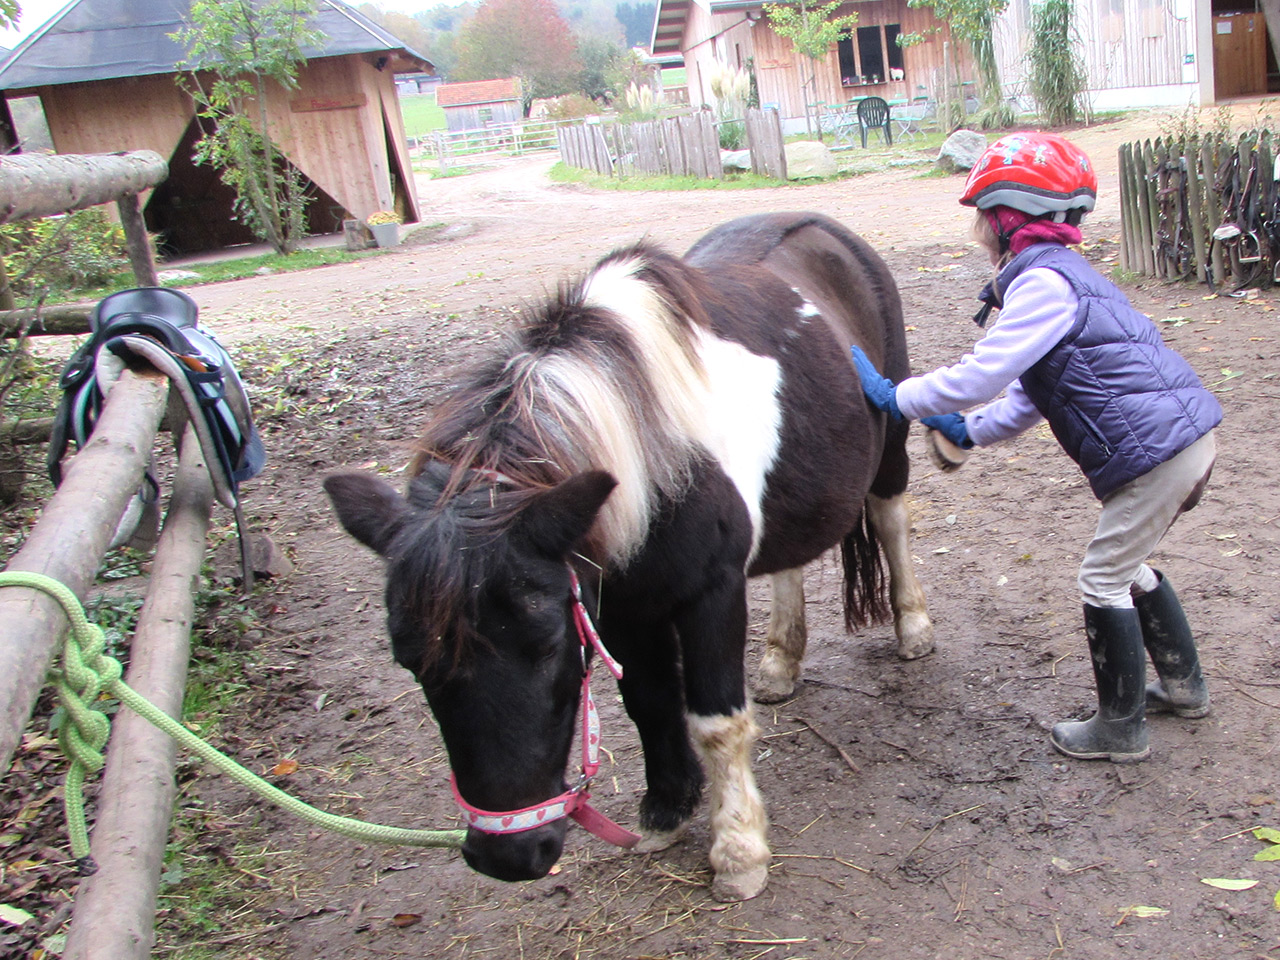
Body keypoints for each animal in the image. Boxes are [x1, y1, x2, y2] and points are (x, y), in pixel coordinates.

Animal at [324, 211, 935, 902]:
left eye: (547, 647)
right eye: (409, 661)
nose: (508, 858)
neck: (654, 460)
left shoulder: (710, 595)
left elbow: (715, 721)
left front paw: (739, 852)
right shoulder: (616, 603)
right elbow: (649, 702)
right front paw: (666, 811)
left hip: (891, 445)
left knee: (890, 518)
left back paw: (912, 626)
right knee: (789, 559)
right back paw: (781, 660)